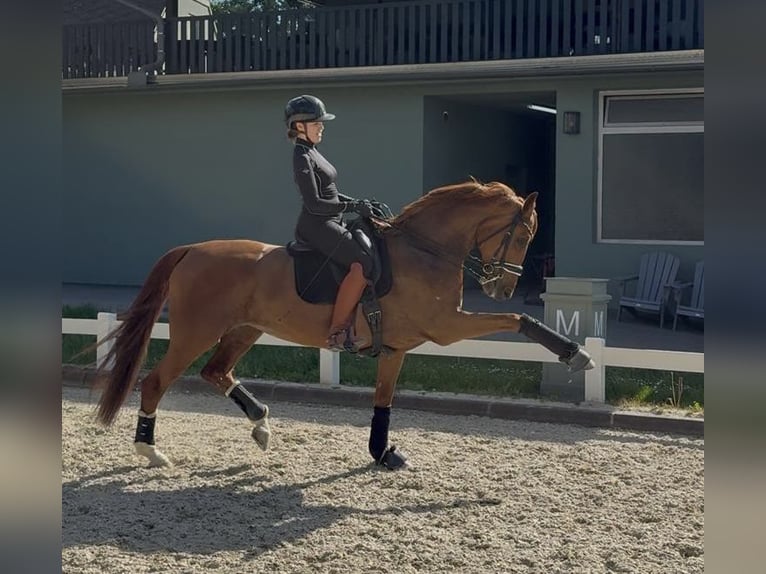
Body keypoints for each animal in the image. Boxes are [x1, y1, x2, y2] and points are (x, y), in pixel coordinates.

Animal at [93, 180, 594, 469]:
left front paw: (382, 452)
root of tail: (192, 249)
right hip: (195, 332)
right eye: (524, 233)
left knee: (216, 372)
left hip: (245, 329)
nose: (501, 288)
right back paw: (150, 449)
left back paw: (261, 423)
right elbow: (519, 319)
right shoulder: (446, 326)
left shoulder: (397, 347)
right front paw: (576, 353)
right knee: (156, 381)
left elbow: (384, 401)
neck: (425, 250)